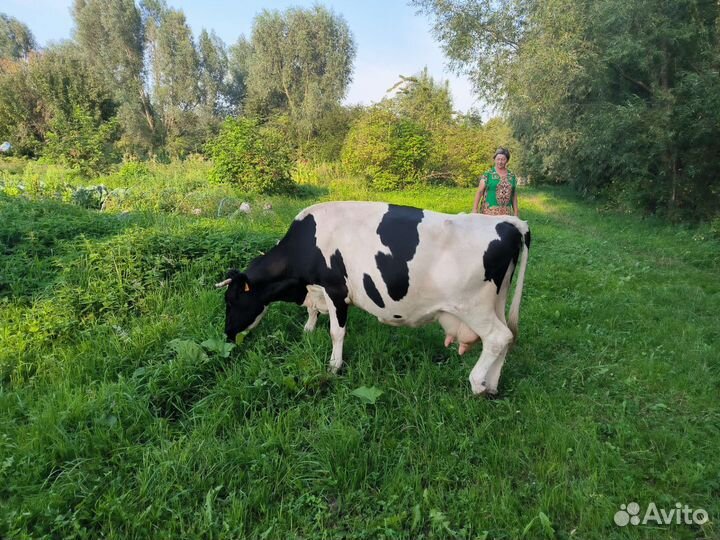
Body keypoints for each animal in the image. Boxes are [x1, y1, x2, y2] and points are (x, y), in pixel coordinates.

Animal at [216, 201, 530, 395]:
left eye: (231, 300)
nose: (227, 334)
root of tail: (509, 222)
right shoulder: (318, 289)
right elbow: (313, 314)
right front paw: (308, 330)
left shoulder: (336, 289)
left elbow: (336, 332)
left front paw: (334, 366)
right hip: (497, 301)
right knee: (507, 338)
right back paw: (491, 384)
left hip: (474, 306)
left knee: (498, 337)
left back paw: (477, 384)